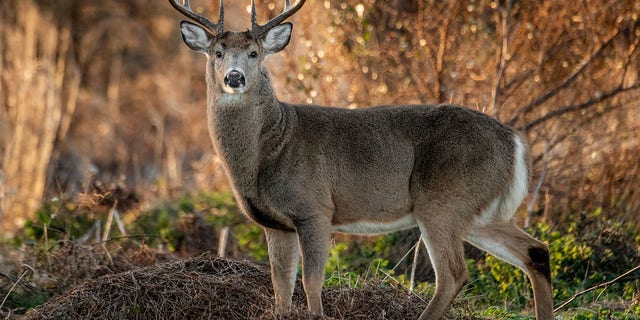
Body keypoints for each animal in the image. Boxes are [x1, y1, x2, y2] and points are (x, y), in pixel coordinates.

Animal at [169, 1, 556, 318]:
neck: (271, 148)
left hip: (443, 200)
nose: (234, 77)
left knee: (453, 274)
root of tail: (514, 141)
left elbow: (311, 281)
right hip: (478, 209)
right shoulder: (275, 223)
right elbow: (281, 287)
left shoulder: (315, 208)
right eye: (217, 52)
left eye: (253, 53)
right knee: (535, 251)